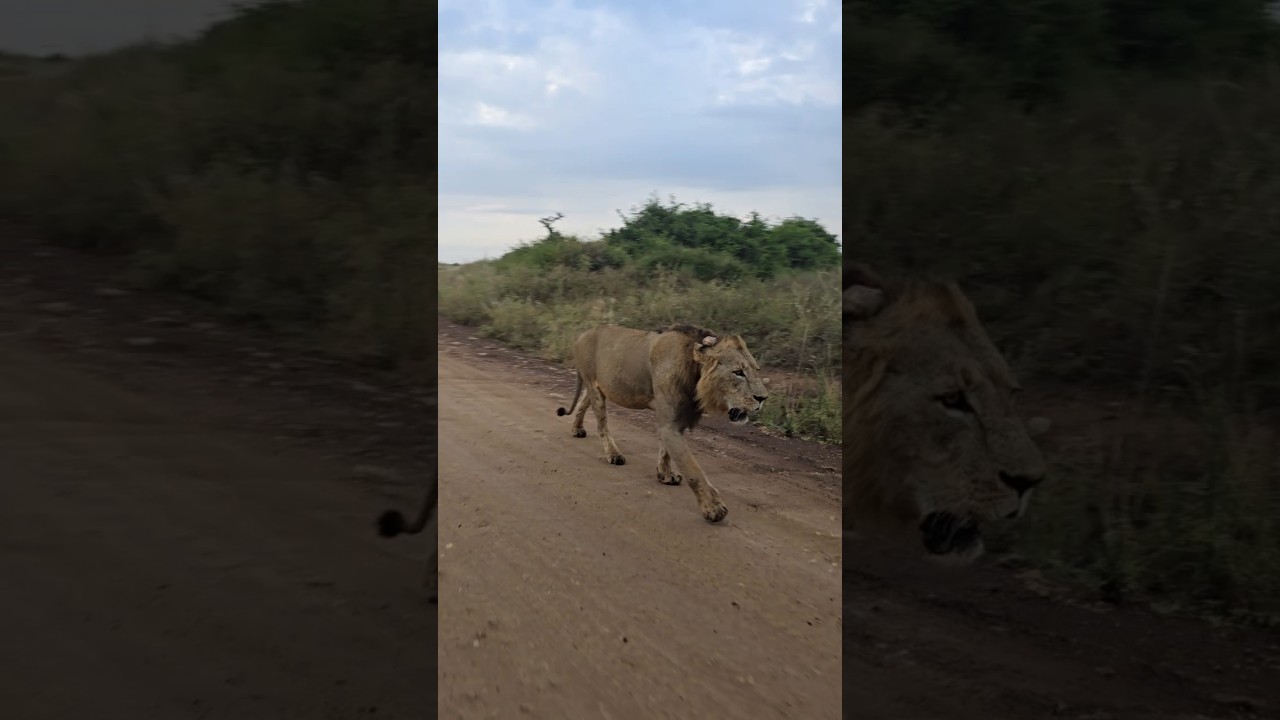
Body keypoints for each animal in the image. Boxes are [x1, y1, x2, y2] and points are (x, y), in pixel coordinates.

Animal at [556, 323, 769, 523]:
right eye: (738, 372)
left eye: (757, 371)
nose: (763, 398)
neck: (695, 373)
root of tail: (583, 333)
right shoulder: (670, 425)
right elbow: (692, 468)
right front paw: (714, 508)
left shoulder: (675, 421)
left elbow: (666, 452)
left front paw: (665, 476)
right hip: (594, 386)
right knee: (601, 424)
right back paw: (614, 454)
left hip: (598, 387)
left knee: (583, 401)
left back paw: (577, 429)